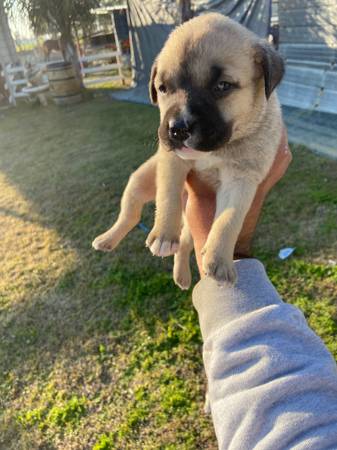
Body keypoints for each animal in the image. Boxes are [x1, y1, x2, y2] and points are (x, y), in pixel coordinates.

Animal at [92, 14, 284, 290]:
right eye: (162, 88)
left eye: (222, 86)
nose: (178, 129)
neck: (216, 150)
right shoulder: (172, 161)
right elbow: (168, 196)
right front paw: (163, 236)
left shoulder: (243, 178)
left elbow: (229, 219)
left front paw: (219, 261)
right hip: (139, 180)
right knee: (130, 214)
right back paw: (107, 239)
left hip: (190, 225)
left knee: (183, 245)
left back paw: (181, 276)